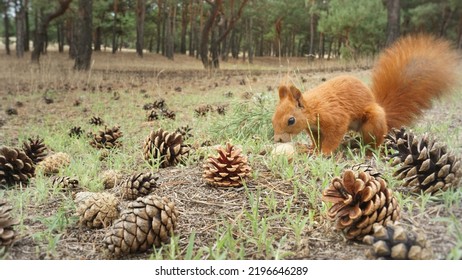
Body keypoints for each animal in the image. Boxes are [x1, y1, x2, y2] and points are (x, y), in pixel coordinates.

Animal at [272, 34, 460, 155]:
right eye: (273, 118)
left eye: (291, 120)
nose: (278, 140)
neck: (313, 108)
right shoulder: (314, 129)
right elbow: (317, 140)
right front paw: (312, 149)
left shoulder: (335, 118)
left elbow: (333, 136)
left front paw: (324, 153)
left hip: (372, 123)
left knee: (375, 142)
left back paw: (368, 151)